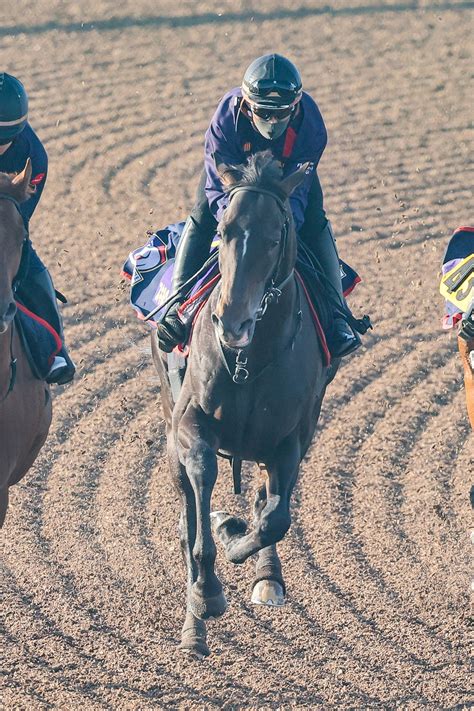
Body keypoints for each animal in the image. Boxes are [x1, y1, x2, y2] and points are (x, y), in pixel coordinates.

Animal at [152, 153, 336, 660]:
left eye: (275, 239)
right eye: (224, 230)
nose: (231, 323)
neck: (250, 359)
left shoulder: (291, 440)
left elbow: (274, 519)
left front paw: (240, 542)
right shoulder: (191, 426)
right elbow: (200, 494)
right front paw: (207, 591)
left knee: (260, 500)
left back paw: (263, 574)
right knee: (186, 516)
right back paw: (194, 625)